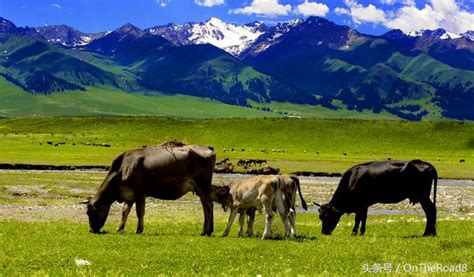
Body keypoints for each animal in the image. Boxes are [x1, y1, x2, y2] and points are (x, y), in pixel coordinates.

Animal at [80, 142, 217, 235]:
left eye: (90, 212)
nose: (91, 230)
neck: (122, 169)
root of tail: (207, 148)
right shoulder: (129, 195)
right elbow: (125, 211)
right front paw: (120, 228)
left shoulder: (140, 193)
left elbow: (139, 212)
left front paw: (139, 230)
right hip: (200, 189)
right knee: (208, 206)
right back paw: (209, 231)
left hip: (202, 186)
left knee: (208, 206)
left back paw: (205, 231)